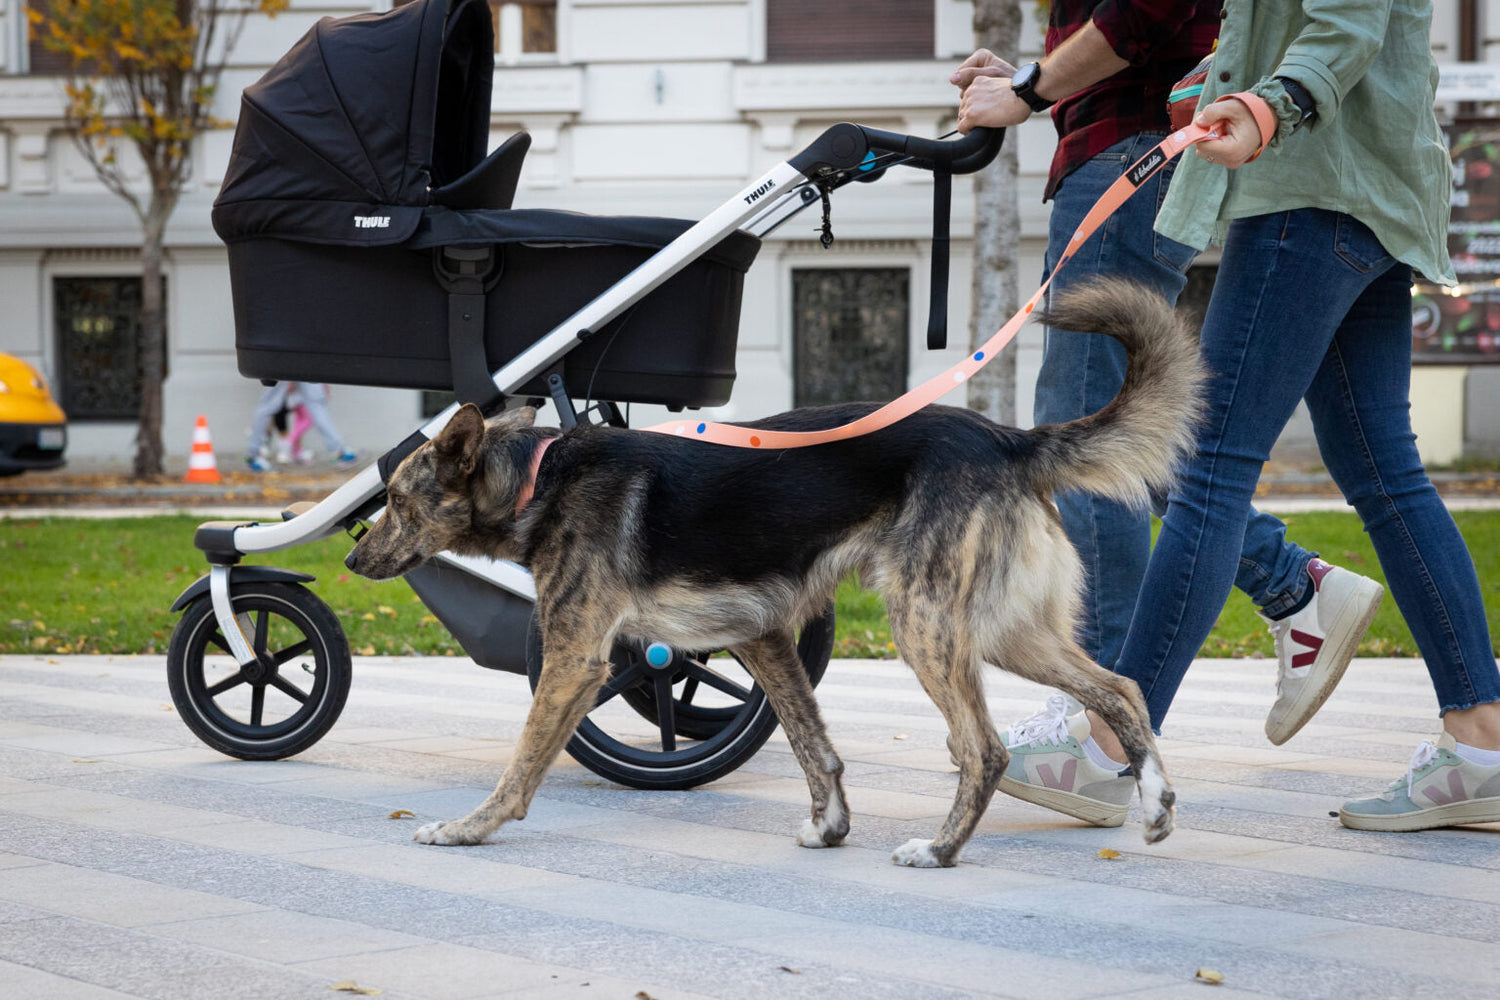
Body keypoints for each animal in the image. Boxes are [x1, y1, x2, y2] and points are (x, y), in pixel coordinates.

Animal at [345, 280, 1200, 869]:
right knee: (1121, 689)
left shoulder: (574, 660)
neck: (537, 478)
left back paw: (941, 850)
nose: (350, 558)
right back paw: (1156, 803)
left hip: (925, 625)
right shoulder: (762, 639)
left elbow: (520, 763)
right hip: (1007, 632)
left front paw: (470, 829)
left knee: (983, 748)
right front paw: (831, 827)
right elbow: (812, 744)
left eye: (396, 502)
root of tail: (1009, 439)